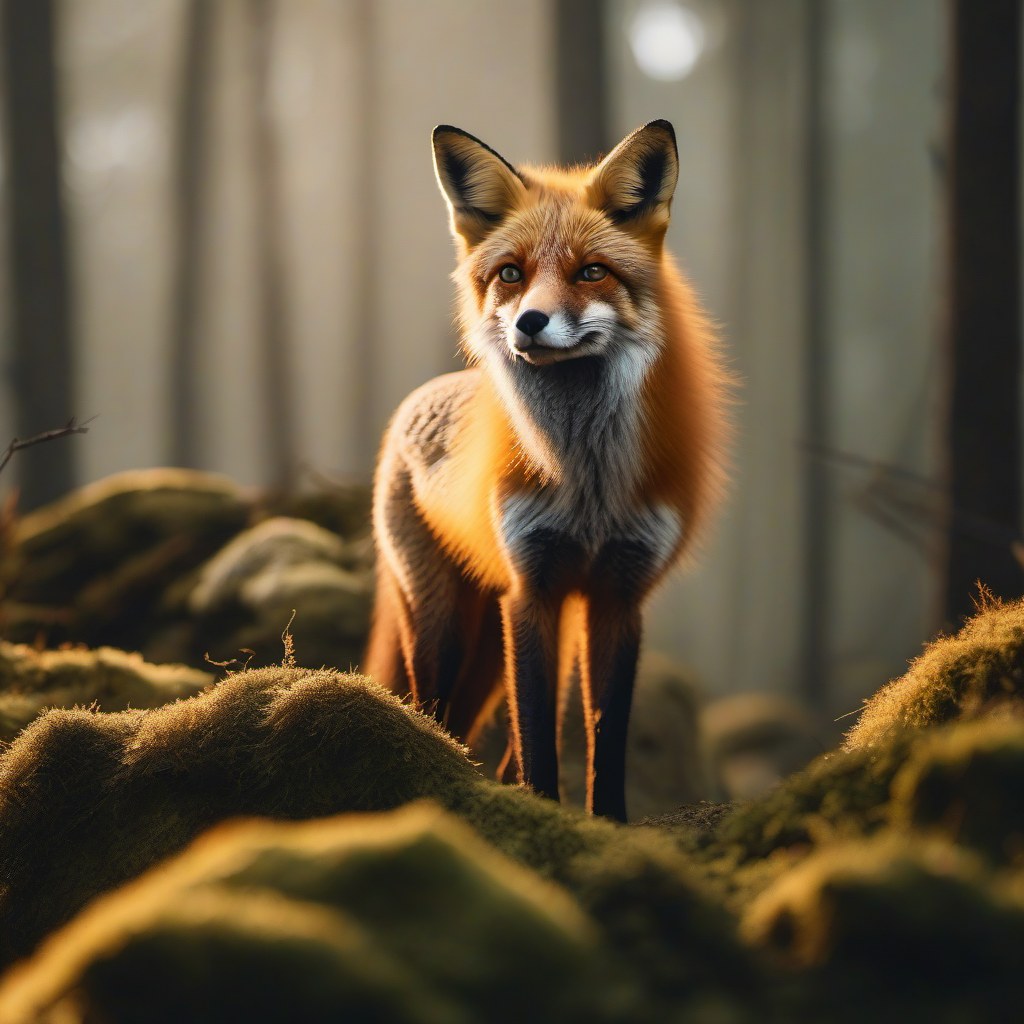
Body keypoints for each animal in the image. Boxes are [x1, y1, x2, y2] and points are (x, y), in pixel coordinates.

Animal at [364, 119, 731, 821]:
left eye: (591, 272)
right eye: (511, 274)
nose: (532, 322)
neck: (586, 479)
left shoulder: (618, 594)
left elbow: (603, 731)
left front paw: (605, 823)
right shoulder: (529, 591)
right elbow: (535, 734)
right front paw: (543, 808)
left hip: (514, 633)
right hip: (445, 623)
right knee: (429, 709)